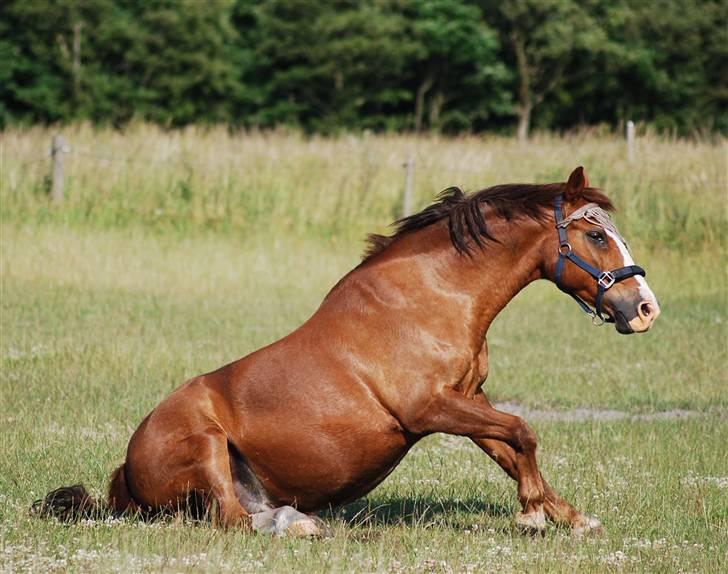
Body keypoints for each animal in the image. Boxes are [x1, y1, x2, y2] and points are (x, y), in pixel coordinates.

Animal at [34, 168, 660, 540]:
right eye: (596, 236)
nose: (644, 307)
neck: (432, 297)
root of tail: (124, 473)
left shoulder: (468, 399)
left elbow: (512, 448)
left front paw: (568, 516)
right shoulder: (429, 408)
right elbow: (523, 432)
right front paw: (532, 514)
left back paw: (296, 517)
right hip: (205, 440)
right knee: (231, 520)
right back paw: (300, 528)